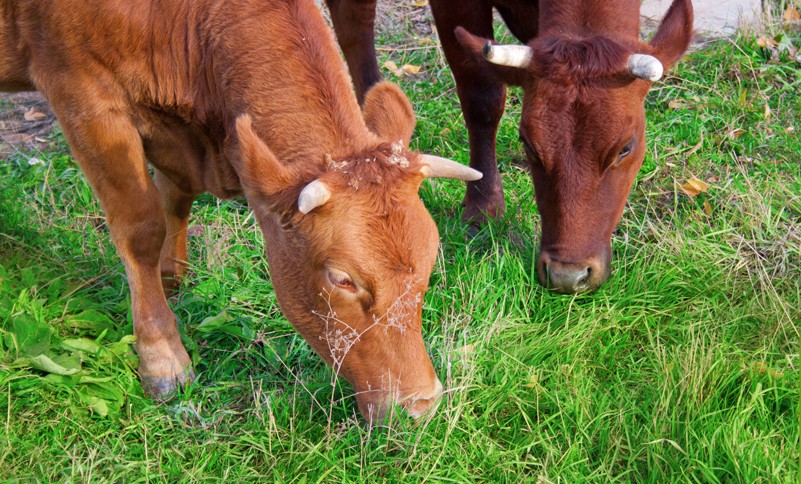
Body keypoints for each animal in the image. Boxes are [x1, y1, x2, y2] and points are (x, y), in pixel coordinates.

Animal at [0, 0, 478, 424]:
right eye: (342, 279)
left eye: (429, 265)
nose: (421, 404)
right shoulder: (82, 94)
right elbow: (141, 229)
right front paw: (162, 355)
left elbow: (175, 198)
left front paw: (170, 282)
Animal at [328, 0, 692, 294]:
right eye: (527, 144)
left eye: (626, 148)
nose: (568, 276)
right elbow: (482, 96)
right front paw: (482, 205)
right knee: (354, 19)